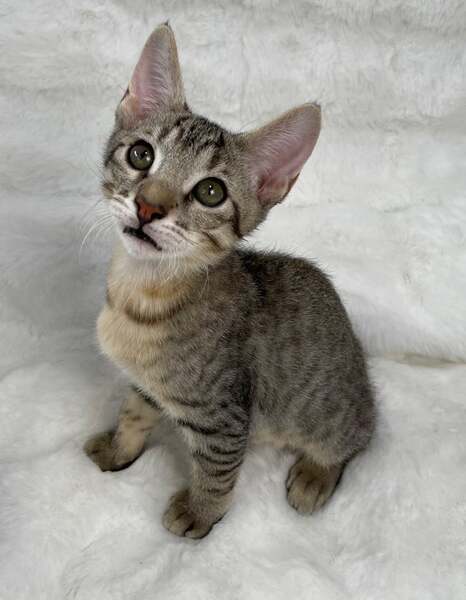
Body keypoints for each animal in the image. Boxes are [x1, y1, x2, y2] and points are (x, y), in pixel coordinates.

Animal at [84, 23, 375, 539]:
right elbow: (133, 413)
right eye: (141, 155)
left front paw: (199, 514)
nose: (148, 207)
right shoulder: (145, 385)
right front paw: (120, 450)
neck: (142, 296)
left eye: (210, 192)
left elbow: (217, 472)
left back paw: (316, 474)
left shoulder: (224, 416)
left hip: (325, 412)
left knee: (355, 436)